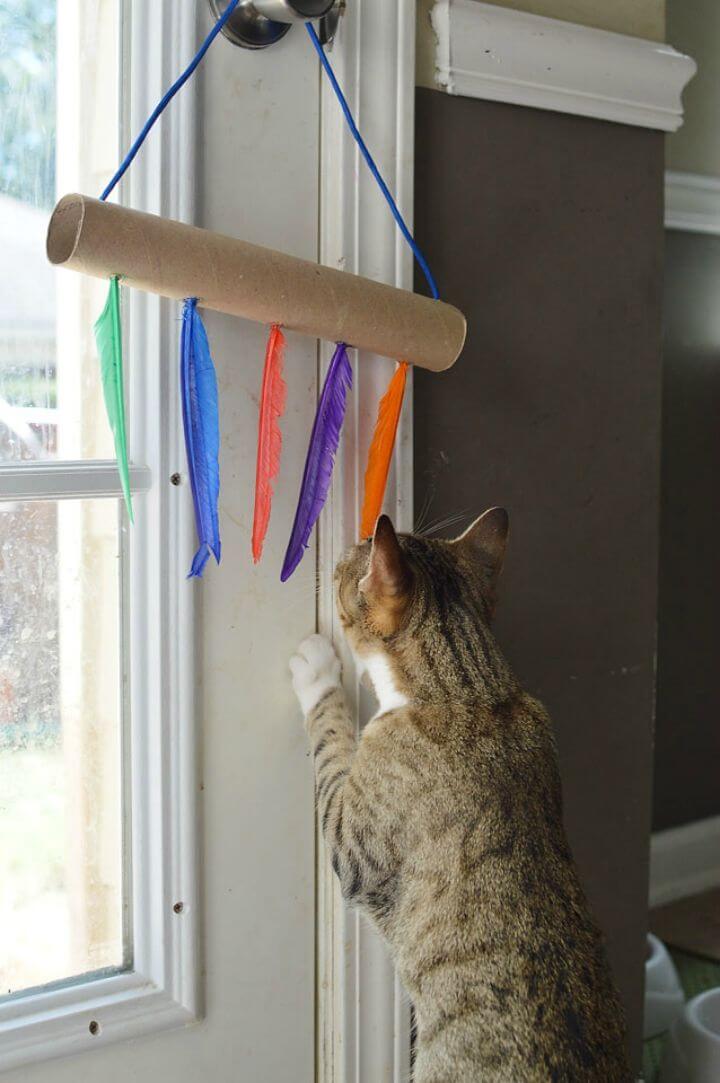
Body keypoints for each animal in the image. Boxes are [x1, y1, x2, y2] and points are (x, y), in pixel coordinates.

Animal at [290, 511, 632, 1078]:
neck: (469, 688)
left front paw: (316, 667)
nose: (347, 545)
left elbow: (331, 735)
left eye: (345, 565)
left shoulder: (353, 843)